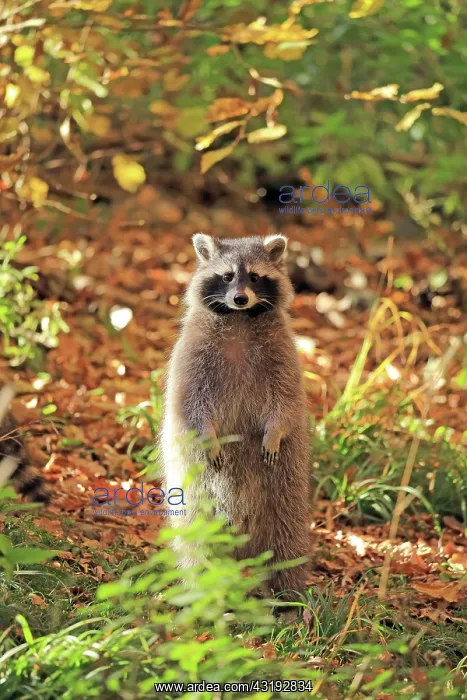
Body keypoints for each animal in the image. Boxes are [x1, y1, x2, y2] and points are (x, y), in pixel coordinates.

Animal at [162, 234, 310, 597]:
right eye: (228, 276)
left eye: (255, 277)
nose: (240, 298)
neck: (240, 318)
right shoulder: (192, 355)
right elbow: (190, 402)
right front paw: (208, 433)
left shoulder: (283, 354)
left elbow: (287, 402)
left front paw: (274, 432)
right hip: (194, 484)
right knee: (196, 531)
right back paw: (202, 584)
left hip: (286, 480)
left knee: (287, 535)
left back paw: (289, 593)